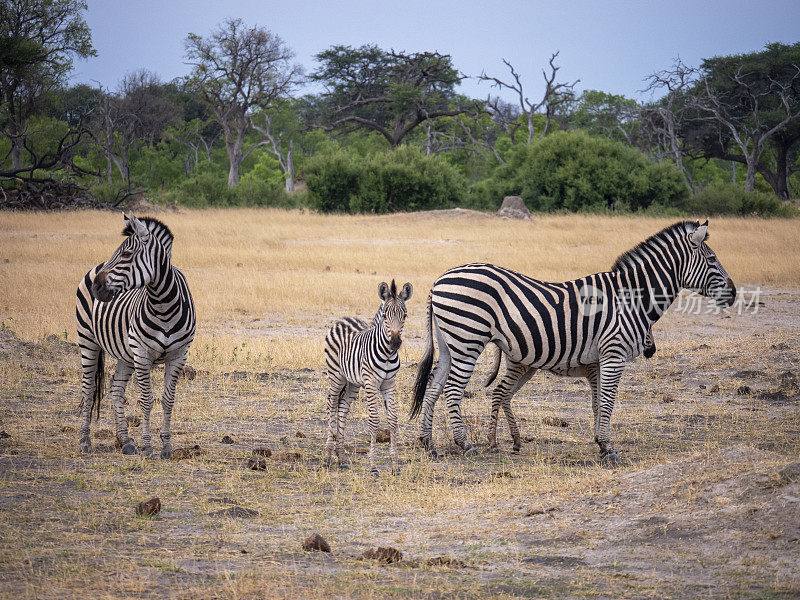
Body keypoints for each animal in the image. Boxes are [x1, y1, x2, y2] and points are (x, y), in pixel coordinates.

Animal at [76, 213, 196, 458]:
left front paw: (166, 447)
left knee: (115, 389)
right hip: (87, 339)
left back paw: (126, 441)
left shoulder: (179, 355)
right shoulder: (142, 354)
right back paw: (85, 441)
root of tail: (97, 265)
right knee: (88, 388)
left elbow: (168, 400)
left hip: (126, 354)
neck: (164, 305)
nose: (96, 288)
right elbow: (146, 400)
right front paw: (148, 446)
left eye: (126, 254)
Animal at [324, 278, 412, 476]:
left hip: (353, 383)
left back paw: (341, 458)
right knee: (331, 405)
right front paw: (373, 467)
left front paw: (395, 466)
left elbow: (393, 420)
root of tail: (343, 319)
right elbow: (374, 421)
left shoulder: (389, 383)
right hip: (336, 376)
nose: (395, 343)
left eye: (404, 315)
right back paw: (328, 456)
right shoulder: (371, 383)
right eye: (385, 316)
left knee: (343, 408)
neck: (387, 354)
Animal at [410, 220, 736, 464]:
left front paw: (601, 444)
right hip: (468, 338)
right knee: (453, 389)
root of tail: (439, 279)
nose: (733, 294)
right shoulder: (614, 353)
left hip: (450, 341)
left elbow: (597, 401)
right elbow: (607, 401)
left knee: (435, 385)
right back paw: (464, 444)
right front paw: (608, 448)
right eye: (712, 259)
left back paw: (428, 443)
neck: (631, 299)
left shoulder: (598, 359)